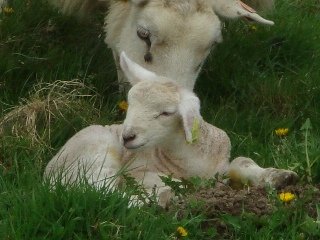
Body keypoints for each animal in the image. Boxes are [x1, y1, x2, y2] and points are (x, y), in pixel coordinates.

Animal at [43, 52, 298, 206]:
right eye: (130, 104)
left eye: (165, 113)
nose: (127, 136)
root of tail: (48, 177)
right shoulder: (137, 170)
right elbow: (165, 181)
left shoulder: (220, 166)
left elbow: (241, 162)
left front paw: (279, 177)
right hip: (95, 153)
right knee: (97, 191)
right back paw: (155, 200)